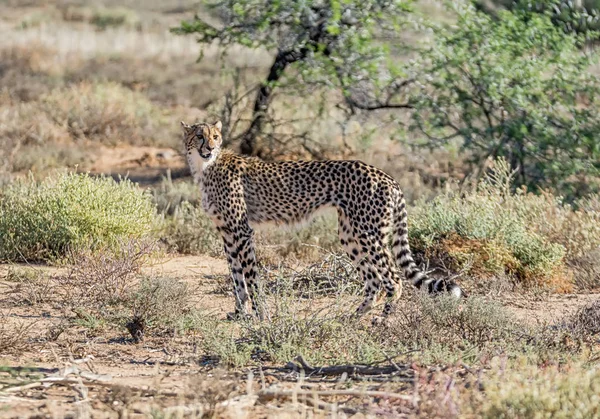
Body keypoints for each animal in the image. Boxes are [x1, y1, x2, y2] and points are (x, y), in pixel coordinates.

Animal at [180, 121, 462, 322]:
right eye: (199, 136)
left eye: (215, 136)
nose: (210, 149)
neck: (205, 168)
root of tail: (386, 175)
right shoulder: (227, 232)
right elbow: (236, 276)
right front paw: (239, 313)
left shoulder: (241, 231)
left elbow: (250, 276)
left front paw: (261, 315)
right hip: (350, 235)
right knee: (373, 280)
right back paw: (352, 318)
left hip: (369, 233)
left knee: (393, 278)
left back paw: (382, 319)